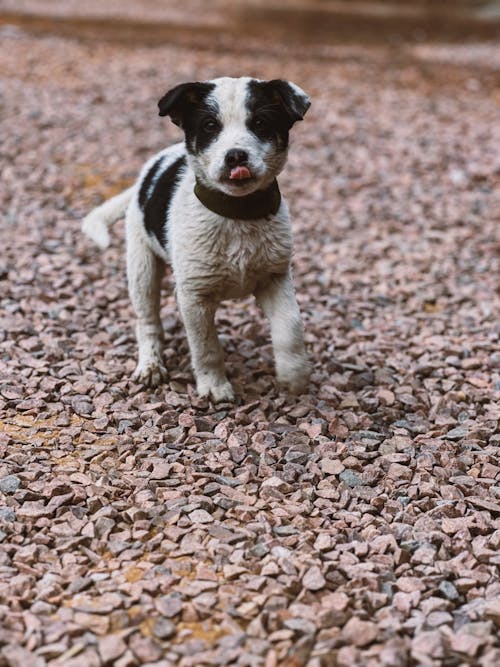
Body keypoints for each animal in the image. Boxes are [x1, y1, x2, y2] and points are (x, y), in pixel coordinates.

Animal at [81, 77, 310, 402]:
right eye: (210, 126)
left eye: (261, 123)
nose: (236, 156)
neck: (237, 213)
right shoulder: (193, 296)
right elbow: (206, 345)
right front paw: (214, 385)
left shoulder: (275, 277)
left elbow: (290, 326)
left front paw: (294, 375)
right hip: (141, 265)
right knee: (147, 321)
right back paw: (150, 364)